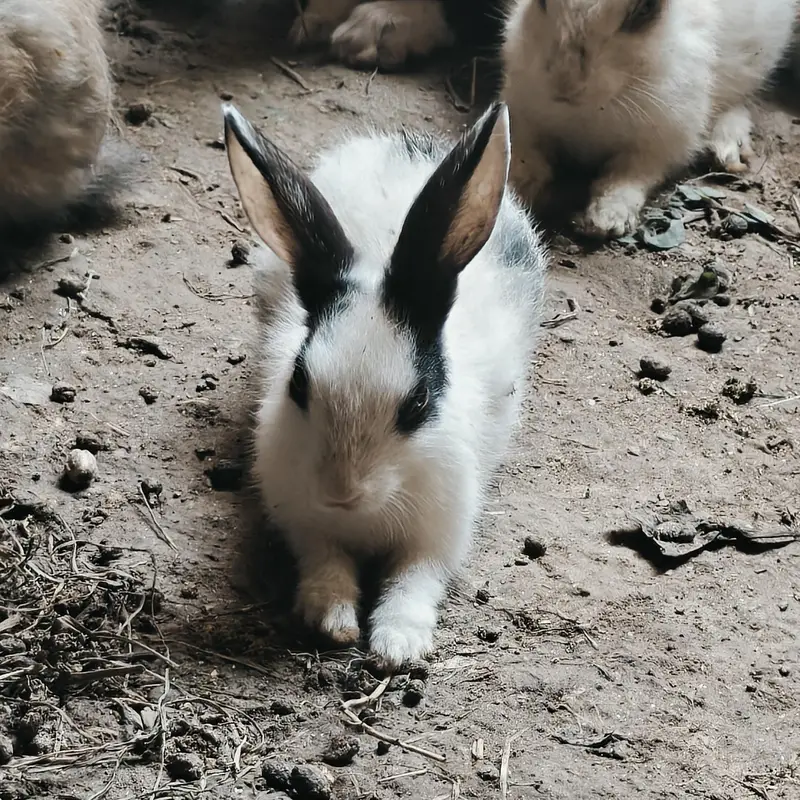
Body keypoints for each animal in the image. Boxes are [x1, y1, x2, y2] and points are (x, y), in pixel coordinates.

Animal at [222, 101, 547, 667]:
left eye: (417, 403)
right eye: (299, 384)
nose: (340, 492)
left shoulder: (437, 535)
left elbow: (415, 582)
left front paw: (398, 645)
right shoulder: (305, 523)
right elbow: (325, 564)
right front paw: (333, 621)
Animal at [501, 0, 800, 239]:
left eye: (645, 8)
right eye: (541, 2)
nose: (565, 83)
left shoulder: (659, 145)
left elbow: (627, 176)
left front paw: (606, 220)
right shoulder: (523, 119)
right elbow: (526, 157)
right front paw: (514, 191)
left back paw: (727, 148)